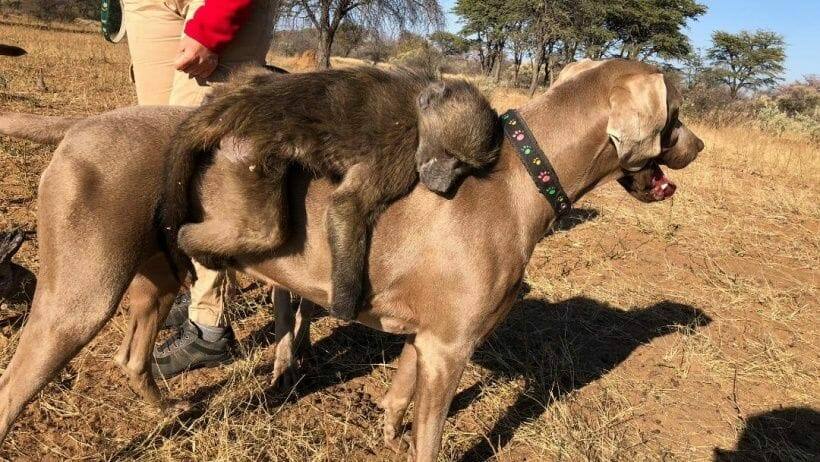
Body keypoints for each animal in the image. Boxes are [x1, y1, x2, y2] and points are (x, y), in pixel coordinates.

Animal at [0, 59, 704, 460]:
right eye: (676, 114)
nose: (697, 147)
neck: (523, 178)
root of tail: (84, 123)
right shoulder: (452, 348)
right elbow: (430, 438)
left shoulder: (431, 339)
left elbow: (401, 392)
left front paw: (386, 426)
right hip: (80, 298)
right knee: (16, 386)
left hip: (154, 275)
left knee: (131, 356)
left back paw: (170, 411)